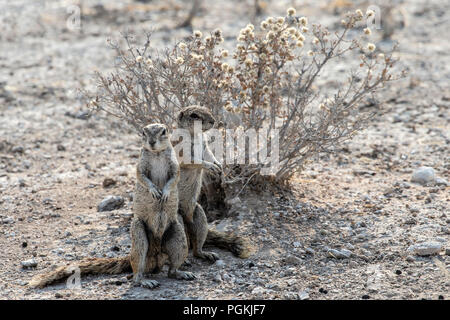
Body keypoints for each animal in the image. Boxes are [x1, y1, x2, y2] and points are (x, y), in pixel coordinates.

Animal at [28, 124, 195, 288]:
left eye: (164, 131)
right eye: (143, 132)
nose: (152, 142)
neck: (156, 153)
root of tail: (157, 256)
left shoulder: (174, 165)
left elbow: (174, 178)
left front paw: (165, 192)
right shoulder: (140, 165)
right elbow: (142, 177)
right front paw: (154, 190)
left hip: (179, 238)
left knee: (172, 269)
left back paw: (182, 273)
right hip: (139, 235)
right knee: (137, 271)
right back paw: (145, 281)